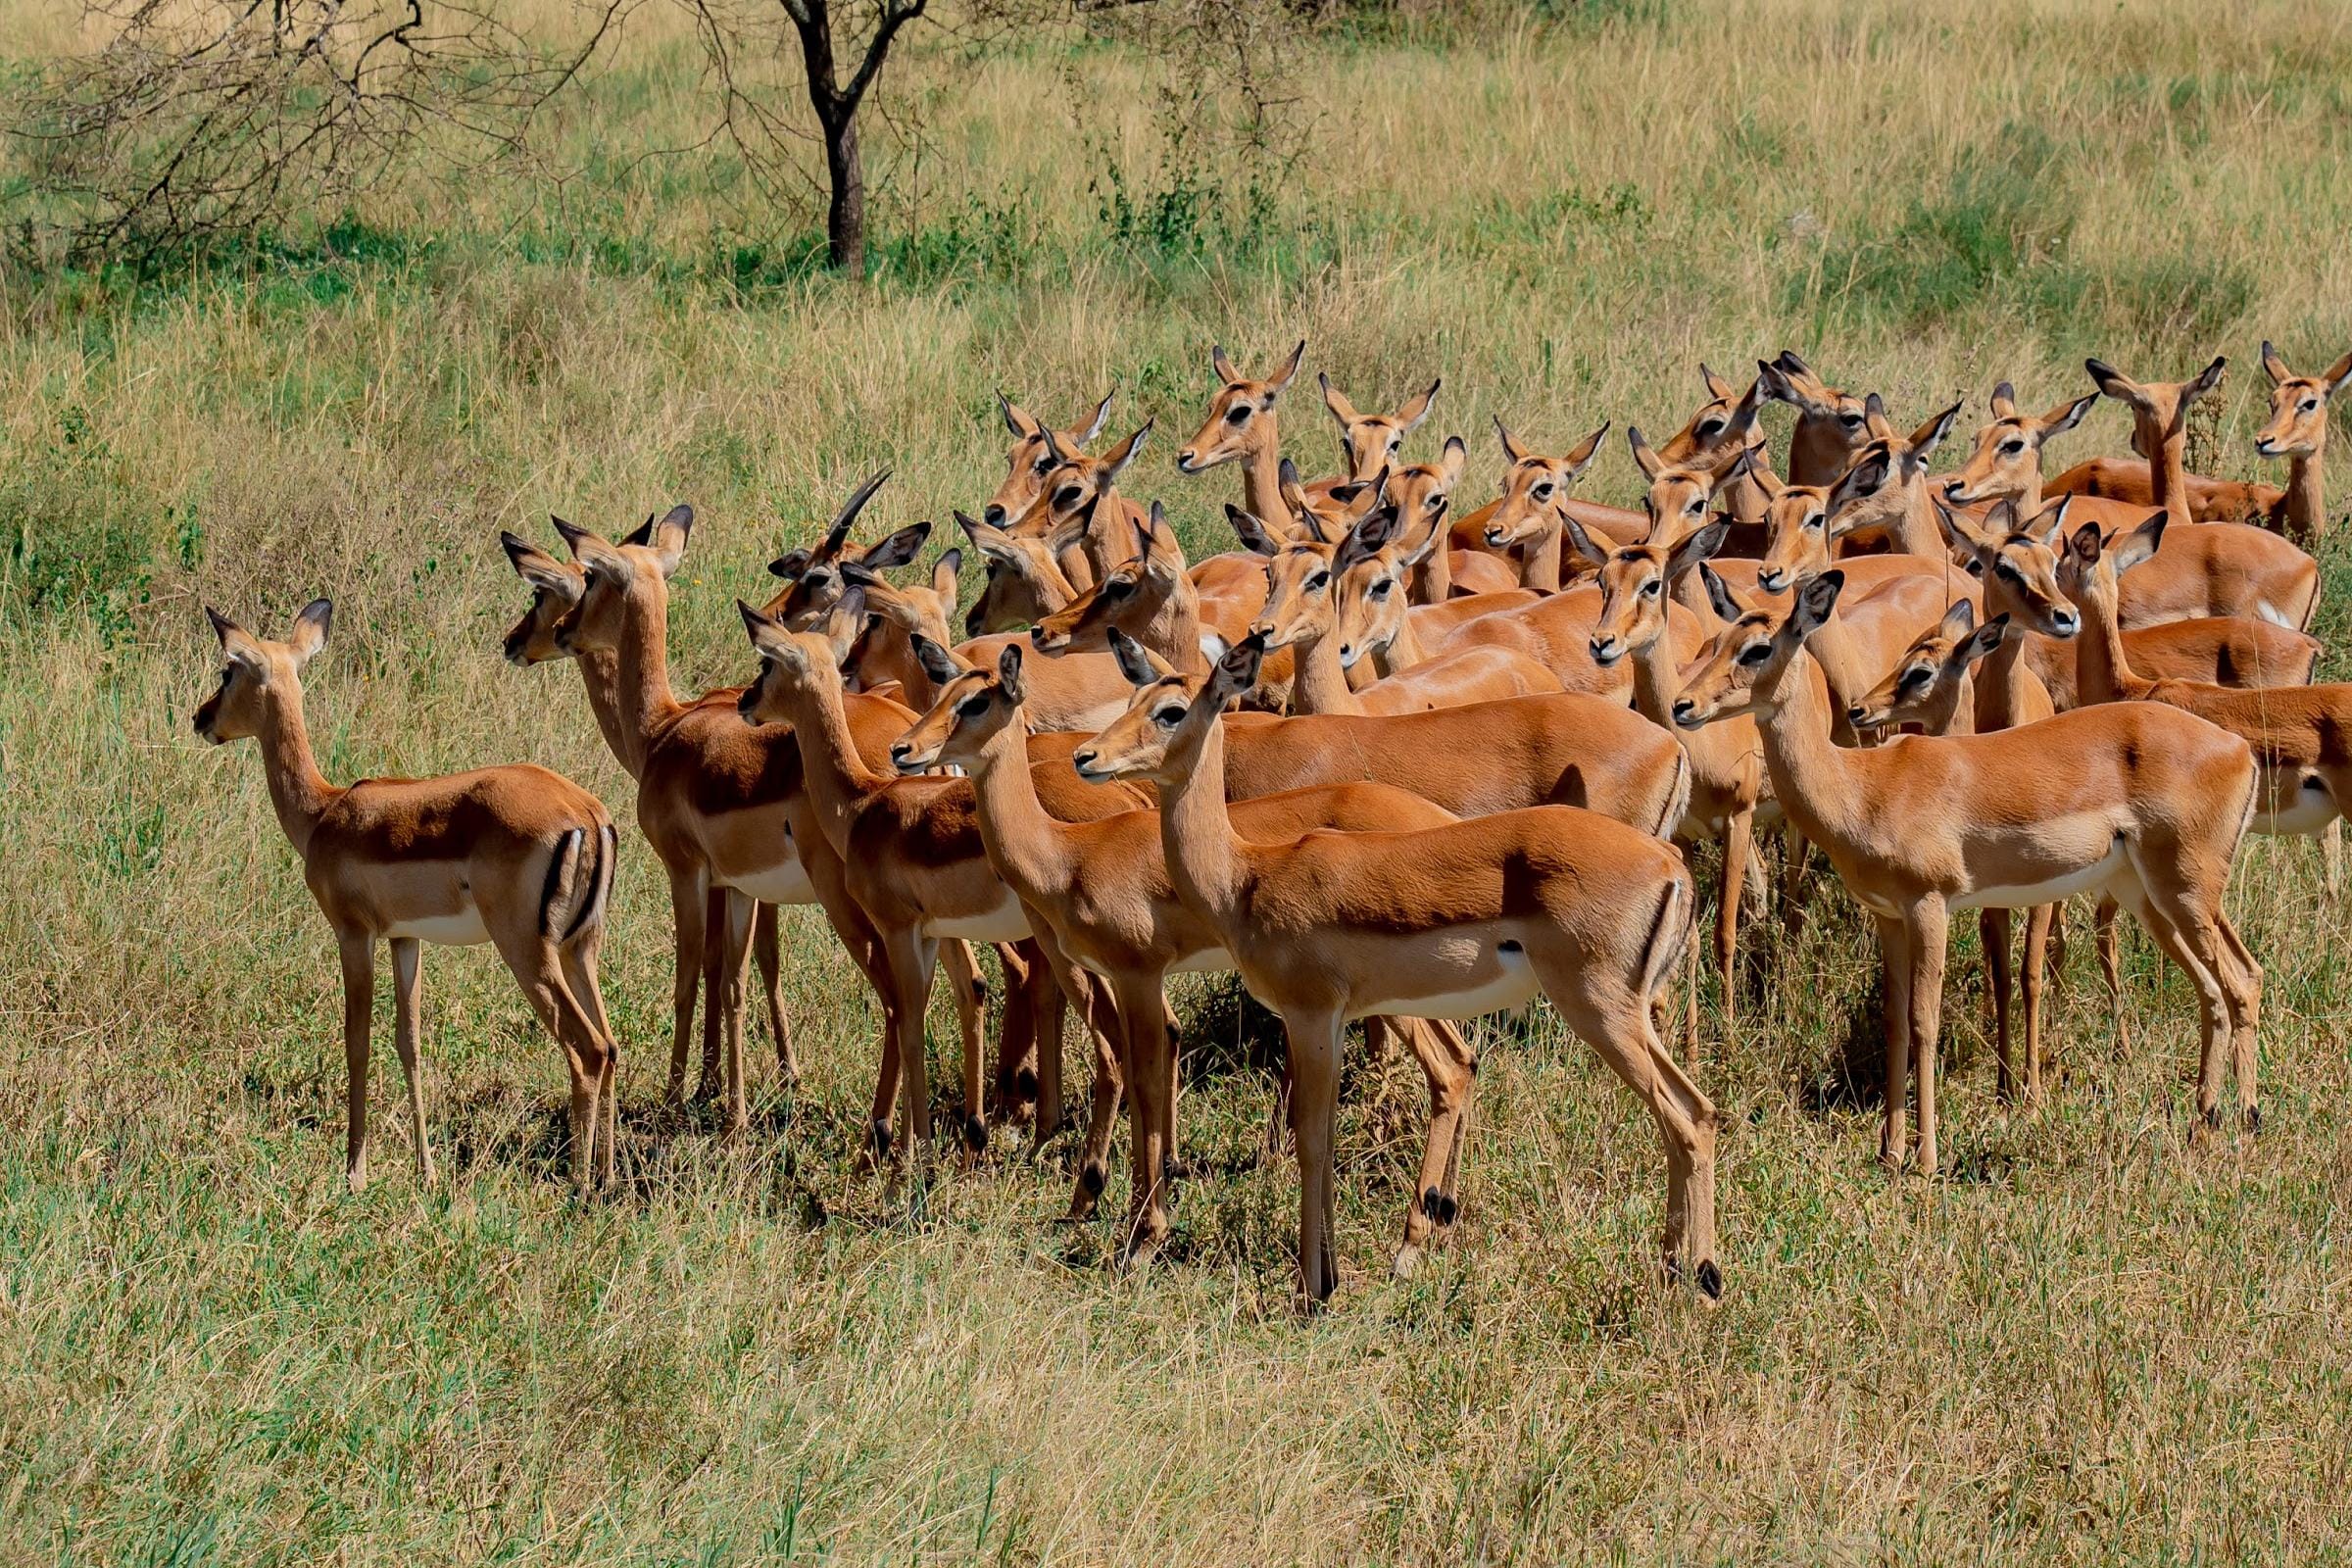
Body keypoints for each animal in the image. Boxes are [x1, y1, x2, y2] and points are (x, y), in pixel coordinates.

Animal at [195, 600, 621, 1194]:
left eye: (227, 672)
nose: (202, 718)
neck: (324, 812)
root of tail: (584, 812)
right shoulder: (406, 940)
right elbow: (410, 1042)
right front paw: (426, 1169)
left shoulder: (354, 936)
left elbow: (357, 1040)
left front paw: (354, 1171)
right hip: (579, 948)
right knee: (612, 1045)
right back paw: (606, 1174)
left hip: (527, 951)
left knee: (588, 1048)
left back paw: (579, 1184)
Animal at [892, 637, 1473, 1270]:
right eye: (940, 692)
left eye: (975, 701)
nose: (905, 749)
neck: (1068, 856)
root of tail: (1435, 821)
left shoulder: (1137, 973)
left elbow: (1144, 1077)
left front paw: (1142, 1232)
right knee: (1462, 1061)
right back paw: (1440, 1222)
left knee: (1447, 1067)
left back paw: (1410, 1244)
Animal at [1072, 632, 1714, 1305]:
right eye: (1133, 697)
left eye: (1171, 711)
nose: (1087, 756)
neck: (1247, 876)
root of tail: (1670, 866)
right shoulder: (1335, 1023)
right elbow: (1325, 1135)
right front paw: (1327, 1274)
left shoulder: (1309, 1016)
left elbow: (1311, 1141)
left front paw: (1312, 1289)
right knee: (1691, 1114)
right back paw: (1673, 1268)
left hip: (1601, 1012)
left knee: (1689, 1118)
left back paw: (1699, 1281)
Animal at [1672, 570, 2262, 1171]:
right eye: (1715, 642)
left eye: (1757, 648)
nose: (1682, 705)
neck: (1863, 786)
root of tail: (2239, 750)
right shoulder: (1888, 916)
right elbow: (1895, 1022)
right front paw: (1891, 1153)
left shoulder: (1929, 907)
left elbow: (1925, 1022)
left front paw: (1927, 1158)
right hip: (2151, 897)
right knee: (2216, 990)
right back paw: (2202, 1127)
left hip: (2185, 893)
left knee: (2241, 981)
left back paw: (2241, 1124)